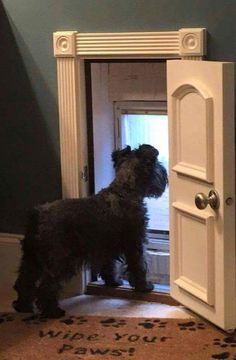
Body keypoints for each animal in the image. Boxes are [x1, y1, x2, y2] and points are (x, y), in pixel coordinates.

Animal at [12, 143, 168, 318]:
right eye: (156, 165)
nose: (164, 175)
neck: (124, 190)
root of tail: (38, 214)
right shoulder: (135, 242)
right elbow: (139, 264)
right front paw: (144, 286)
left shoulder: (107, 245)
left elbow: (109, 265)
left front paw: (113, 282)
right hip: (59, 258)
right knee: (47, 285)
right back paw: (53, 311)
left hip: (31, 257)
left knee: (24, 280)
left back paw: (23, 306)